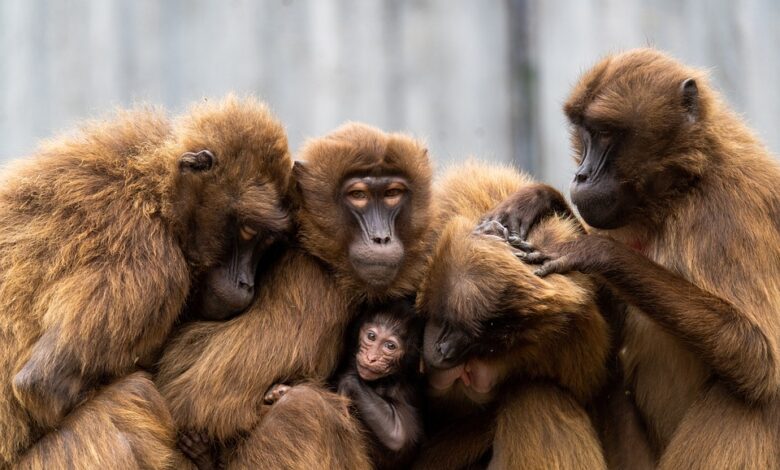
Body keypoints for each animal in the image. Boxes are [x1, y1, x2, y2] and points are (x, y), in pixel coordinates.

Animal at [336, 302, 424, 470]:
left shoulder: (401, 388)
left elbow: (398, 436)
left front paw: (348, 381)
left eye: (390, 346)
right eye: (371, 336)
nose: (371, 358)